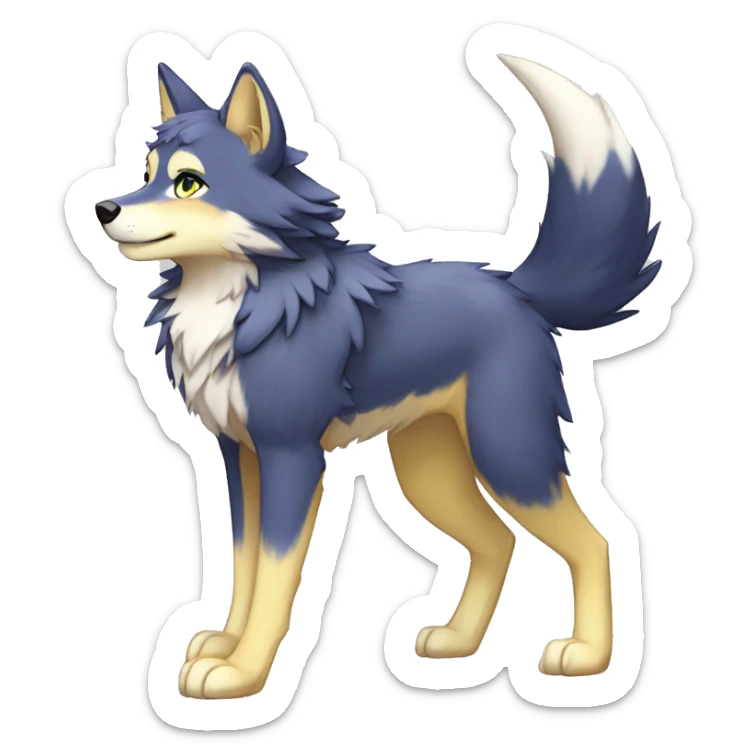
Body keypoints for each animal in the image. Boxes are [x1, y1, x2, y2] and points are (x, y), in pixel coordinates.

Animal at [94, 54, 660, 699]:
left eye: (188, 182)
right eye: (144, 173)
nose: (104, 210)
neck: (236, 302)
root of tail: (515, 289)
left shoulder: (292, 457)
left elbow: (275, 576)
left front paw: (244, 672)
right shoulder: (239, 456)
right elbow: (242, 566)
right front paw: (223, 644)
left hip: (508, 455)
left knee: (596, 541)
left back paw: (588, 657)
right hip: (428, 470)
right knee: (498, 543)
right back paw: (457, 641)